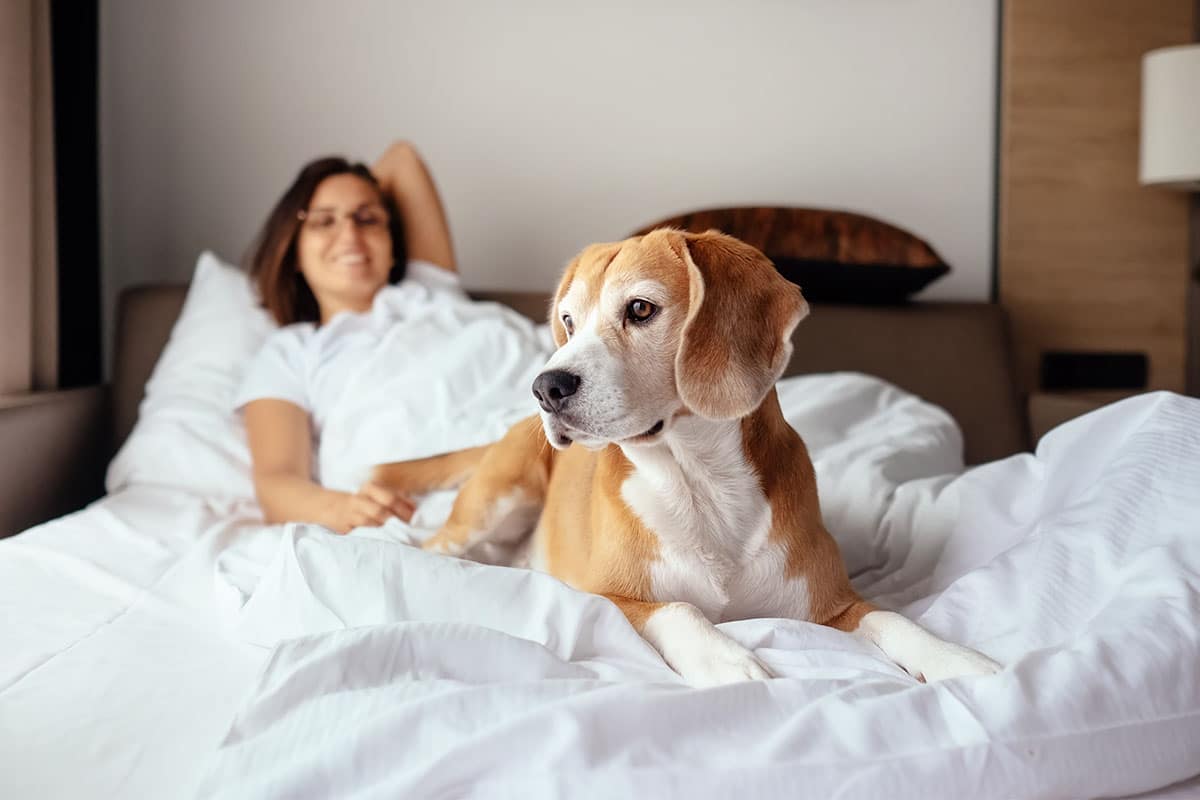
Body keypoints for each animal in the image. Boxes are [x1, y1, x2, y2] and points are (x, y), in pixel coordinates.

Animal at [374, 229, 1001, 687]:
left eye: (640, 309)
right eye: (569, 321)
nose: (545, 388)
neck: (699, 482)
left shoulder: (834, 605)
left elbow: (893, 617)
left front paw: (955, 658)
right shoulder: (607, 597)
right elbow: (679, 609)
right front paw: (724, 659)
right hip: (495, 502)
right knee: (431, 545)